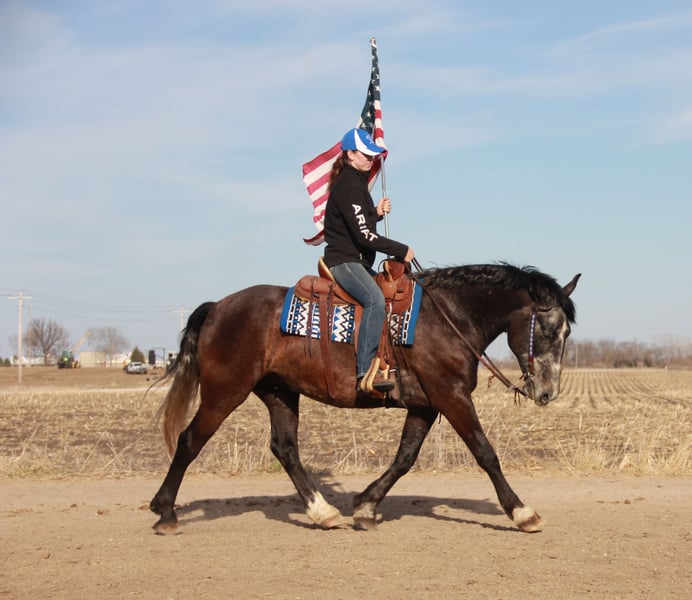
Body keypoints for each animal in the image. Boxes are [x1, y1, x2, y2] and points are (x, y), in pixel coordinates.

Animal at [150, 263, 580, 534]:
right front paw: (522, 512)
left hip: (279, 393)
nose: (547, 392)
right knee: (189, 441)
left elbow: (405, 458)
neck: (448, 317)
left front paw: (366, 505)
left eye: (567, 333)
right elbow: (485, 453)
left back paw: (323, 512)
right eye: (547, 328)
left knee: (285, 448)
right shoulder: (452, 397)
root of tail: (218, 307)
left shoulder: (425, 405)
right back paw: (165, 510)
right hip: (224, 393)